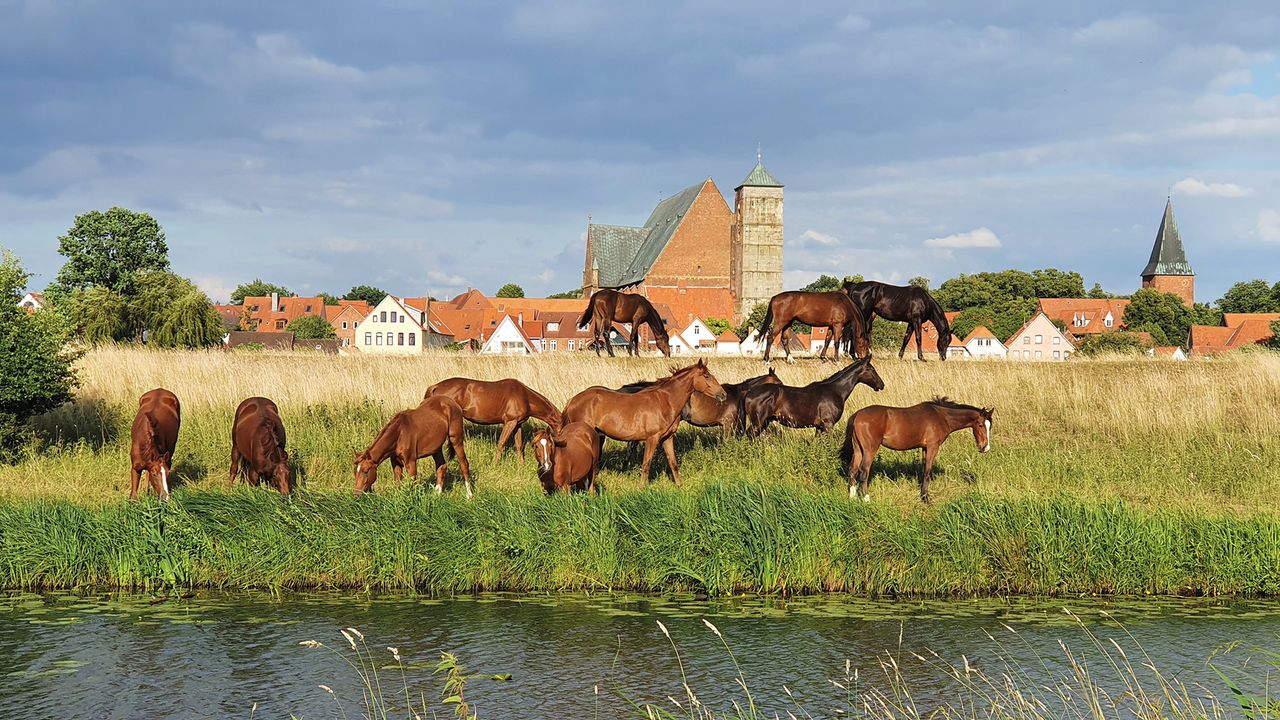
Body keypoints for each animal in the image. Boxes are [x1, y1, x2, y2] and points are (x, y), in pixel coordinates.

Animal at [424, 377, 563, 463]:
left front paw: (521, 464)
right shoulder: (510, 422)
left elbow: (519, 445)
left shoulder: (517, 424)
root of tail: (436, 386)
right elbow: (501, 443)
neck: (525, 397)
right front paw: (495, 463)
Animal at [562, 359, 726, 484]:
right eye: (706, 376)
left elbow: (673, 463)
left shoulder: (667, 438)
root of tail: (572, 401)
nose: (723, 394)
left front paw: (680, 486)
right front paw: (642, 488)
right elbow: (646, 464)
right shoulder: (652, 439)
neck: (665, 401)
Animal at [741, 357, 884, 437]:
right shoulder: (827, 425)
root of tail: (749, 392)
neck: (835, 390)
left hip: (764, 422)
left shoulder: (819, 427)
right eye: (872, 370)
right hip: (758, 423)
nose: (881, 385)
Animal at [841, 398, 993, 503]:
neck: (941, 416)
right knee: (863, 472)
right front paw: (926, 498)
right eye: (980, 425)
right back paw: (866, 499)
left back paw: (852, 497)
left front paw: (923, 495)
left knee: (852, 470)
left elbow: (924, 470)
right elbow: (927, 472)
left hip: (858, 450)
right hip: (869, 450)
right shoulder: (932, 447)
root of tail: (857, 415)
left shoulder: (924, 448)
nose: (985, 448)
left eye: (989, 426)